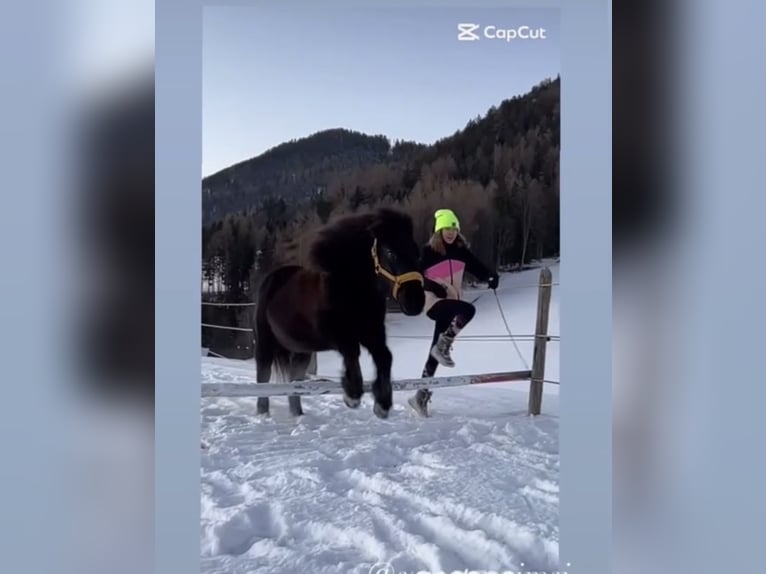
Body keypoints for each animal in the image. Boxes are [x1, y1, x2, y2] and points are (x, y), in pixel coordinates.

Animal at [252, 209, 426, 420]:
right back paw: (263, 414)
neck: (349, 288)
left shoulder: (372, 333)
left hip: (302, 351)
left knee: (295, 382)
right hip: (265, 344)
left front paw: (382, 404)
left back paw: (298, 414)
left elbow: (385, 356)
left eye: (416, 252)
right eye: (390, 252)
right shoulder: (336, 334)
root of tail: (271, 279)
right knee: (262, 379)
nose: (415, 301)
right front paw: (352, 394)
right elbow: (352, 352)